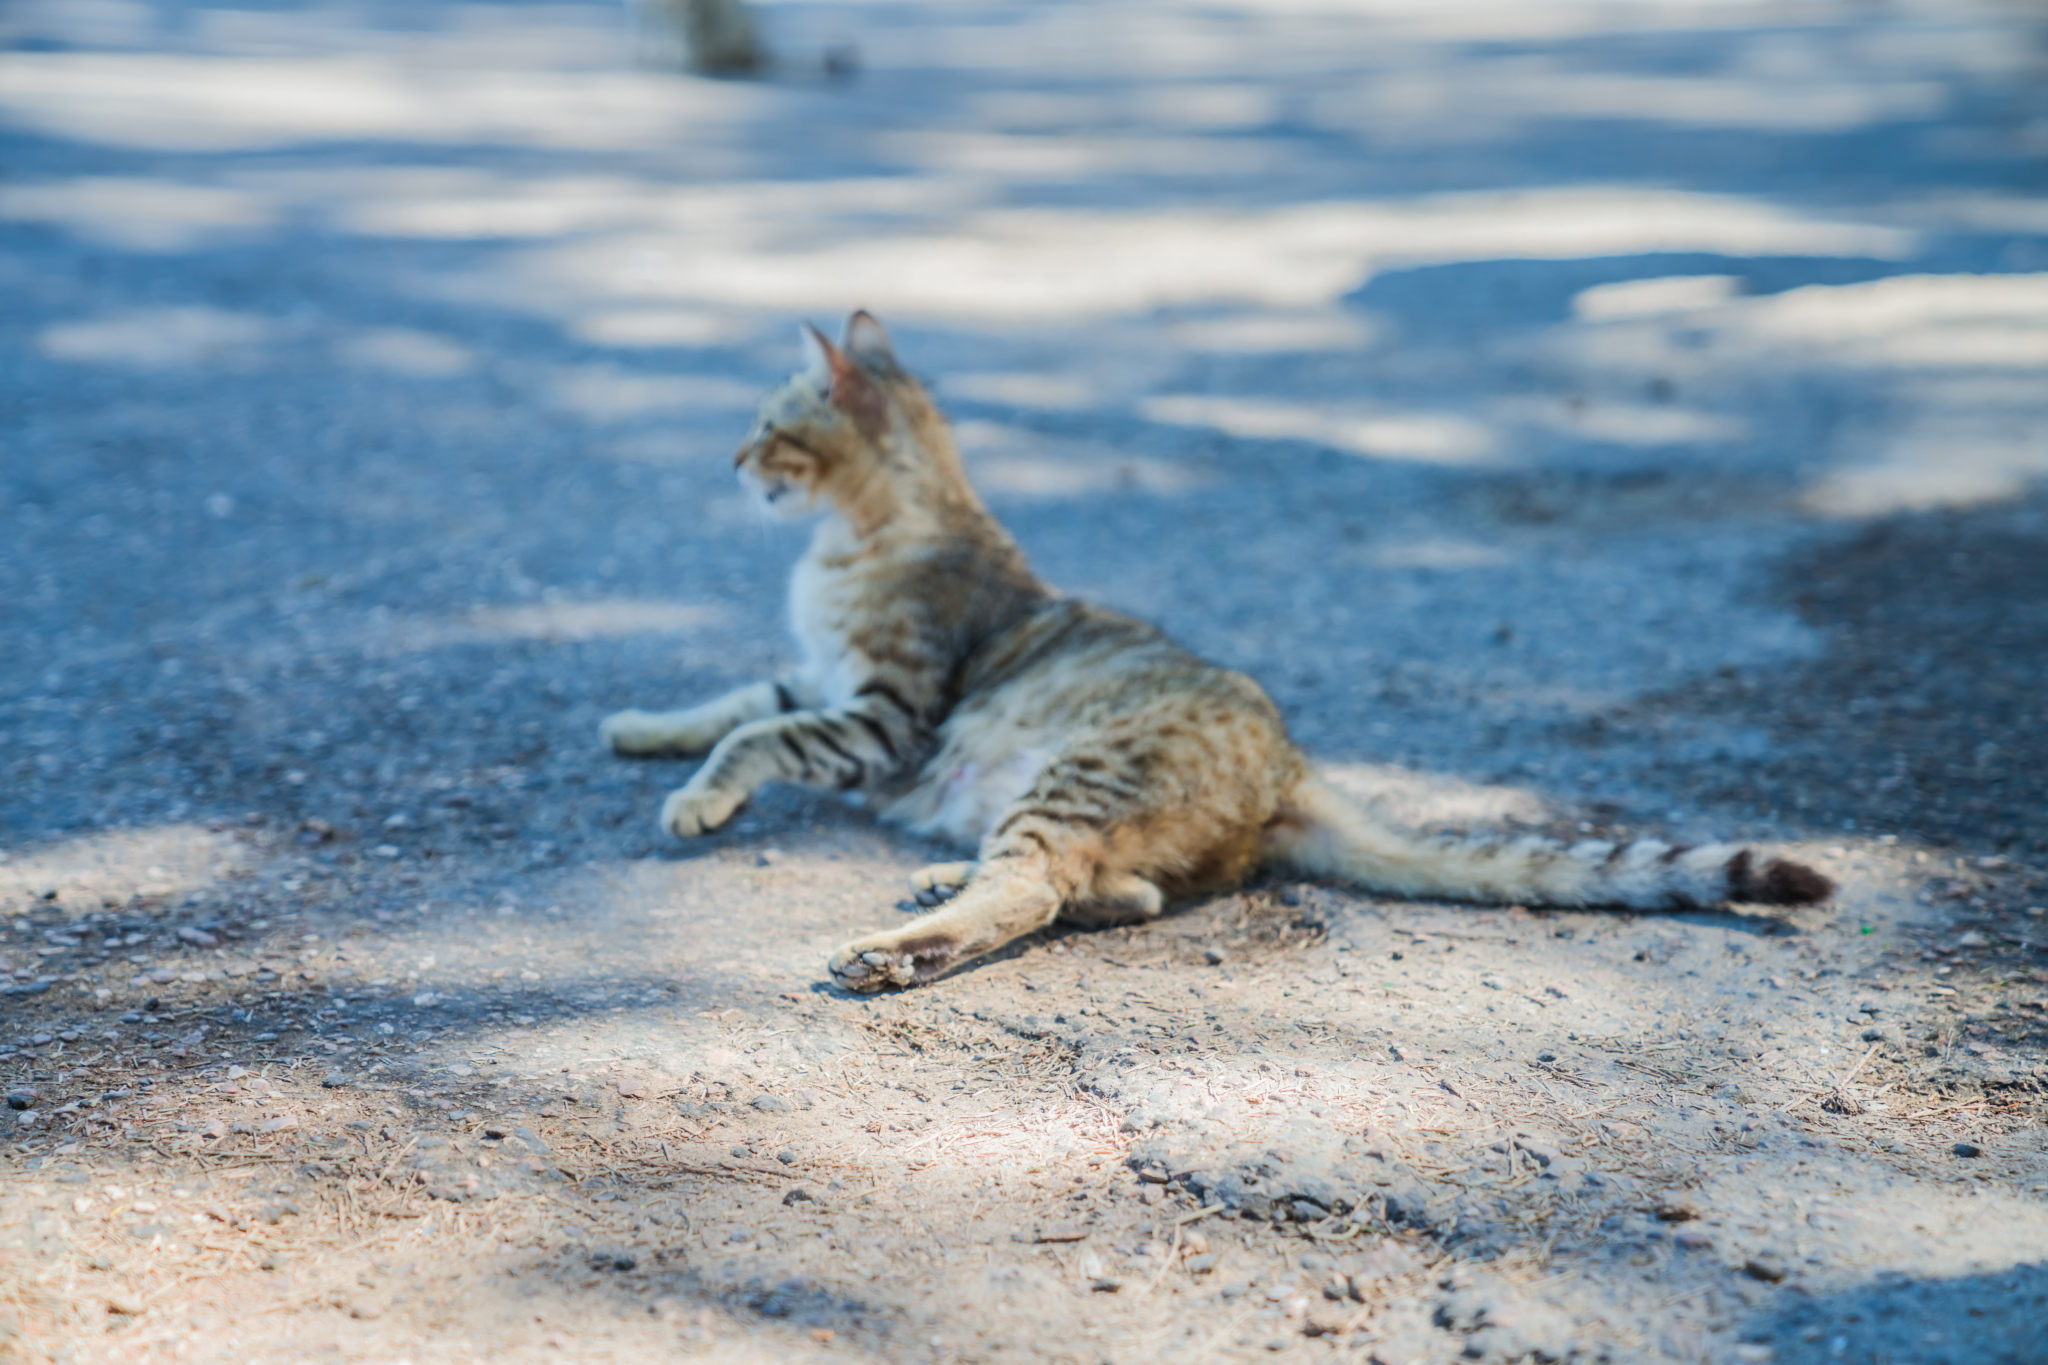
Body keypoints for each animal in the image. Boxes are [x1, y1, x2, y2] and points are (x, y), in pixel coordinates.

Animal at [598, 311, 1835, 994]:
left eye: (768, 427)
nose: (728, 460)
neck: (854, 537)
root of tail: (1292, 768)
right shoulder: (817, 677)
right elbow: (731, 700)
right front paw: (639, 727)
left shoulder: (881, 711)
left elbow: (757, 736)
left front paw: (695, 798)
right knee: (1110, 886)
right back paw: (947, 878)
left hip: (1073, 770)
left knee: (1034, 889)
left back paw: (898, 949)